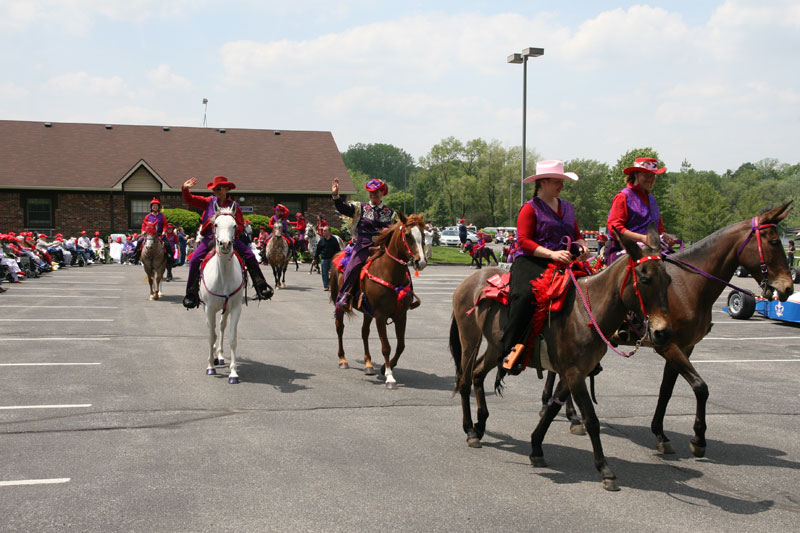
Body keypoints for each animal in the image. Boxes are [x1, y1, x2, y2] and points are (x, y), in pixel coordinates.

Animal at [199, 207, 245, 382]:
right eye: (216, 224)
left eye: (234, 225)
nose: (225, 244)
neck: (224, 275)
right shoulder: (210, 308)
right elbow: (211, 336)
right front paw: (210, 366)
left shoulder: (236, 308)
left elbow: (232, 338)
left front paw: (233, 373)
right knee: (211, 329)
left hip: (226, 310)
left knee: (221, 326)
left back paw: (218, 355)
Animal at [330, 212, 428, 390]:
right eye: (408, 235)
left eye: (423, 235)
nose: (421, 262)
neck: (389, 273)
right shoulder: (381, 316)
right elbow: (386, 347)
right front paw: (390, 377)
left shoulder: (401, 315)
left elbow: (401, 345)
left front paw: (385, 368)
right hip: (338, 303)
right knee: (339, 328)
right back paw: (342, 359)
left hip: (367, 311)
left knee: (364, 332)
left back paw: (368, 364)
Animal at [454, 225, 672, 490]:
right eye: (645, 279)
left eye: (669, 280)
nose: (662, 332)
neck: (586, 312)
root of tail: (472, 281)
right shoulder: (575, 374)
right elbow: (591, 419)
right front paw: (605, 470)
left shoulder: (573, 372)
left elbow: (551, 409)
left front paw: (536, 448)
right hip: (469, 339)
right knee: (464, 380)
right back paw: (470, 431)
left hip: (496, 348)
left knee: (477, 374)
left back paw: (480, 425)